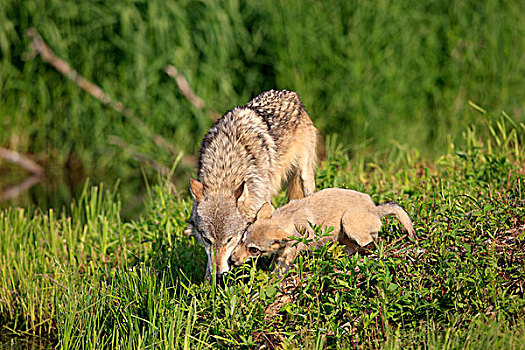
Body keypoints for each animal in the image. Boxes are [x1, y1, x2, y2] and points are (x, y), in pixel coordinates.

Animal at [186, 90, 318, 278]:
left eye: (229, 239)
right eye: (207, 240)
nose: (219, 273)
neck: (225, 169)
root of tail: (292, 95)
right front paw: (208, 281)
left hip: (304, 176)